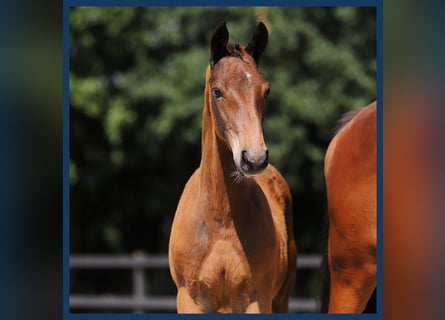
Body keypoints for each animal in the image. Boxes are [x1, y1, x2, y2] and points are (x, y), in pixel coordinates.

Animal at [168, 21, 296, 312]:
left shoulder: (257, 298)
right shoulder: (190, 297)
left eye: (266, 90)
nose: (254, 158)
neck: (221, 219)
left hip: (281, 298)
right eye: (217, 91)